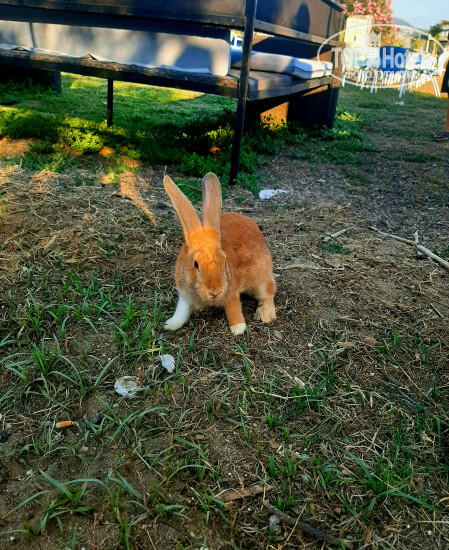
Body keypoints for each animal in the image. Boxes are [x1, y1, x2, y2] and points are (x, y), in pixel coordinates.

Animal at [163, 173, 276, 335]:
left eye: (224, 262)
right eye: (195, 264)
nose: (214, 291)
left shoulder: (232, 292)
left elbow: (234, 308)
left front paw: (238, 328)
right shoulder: (184, 294)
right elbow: (182, 310)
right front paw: (170, 324)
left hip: (261, 277)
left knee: (268, 292)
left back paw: (265, 315)